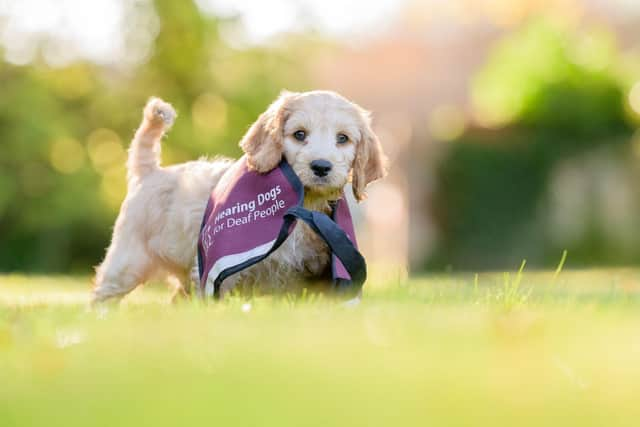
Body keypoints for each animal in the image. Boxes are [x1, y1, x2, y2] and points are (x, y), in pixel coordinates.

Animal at [92, 90, 388, 304]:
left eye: (343, 138)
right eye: (299, 134)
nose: (321, 166)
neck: (302, 205)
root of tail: (151, 172)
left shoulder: (311, 276)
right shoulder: (218, 273)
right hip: (128, 260)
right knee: (103, 296)